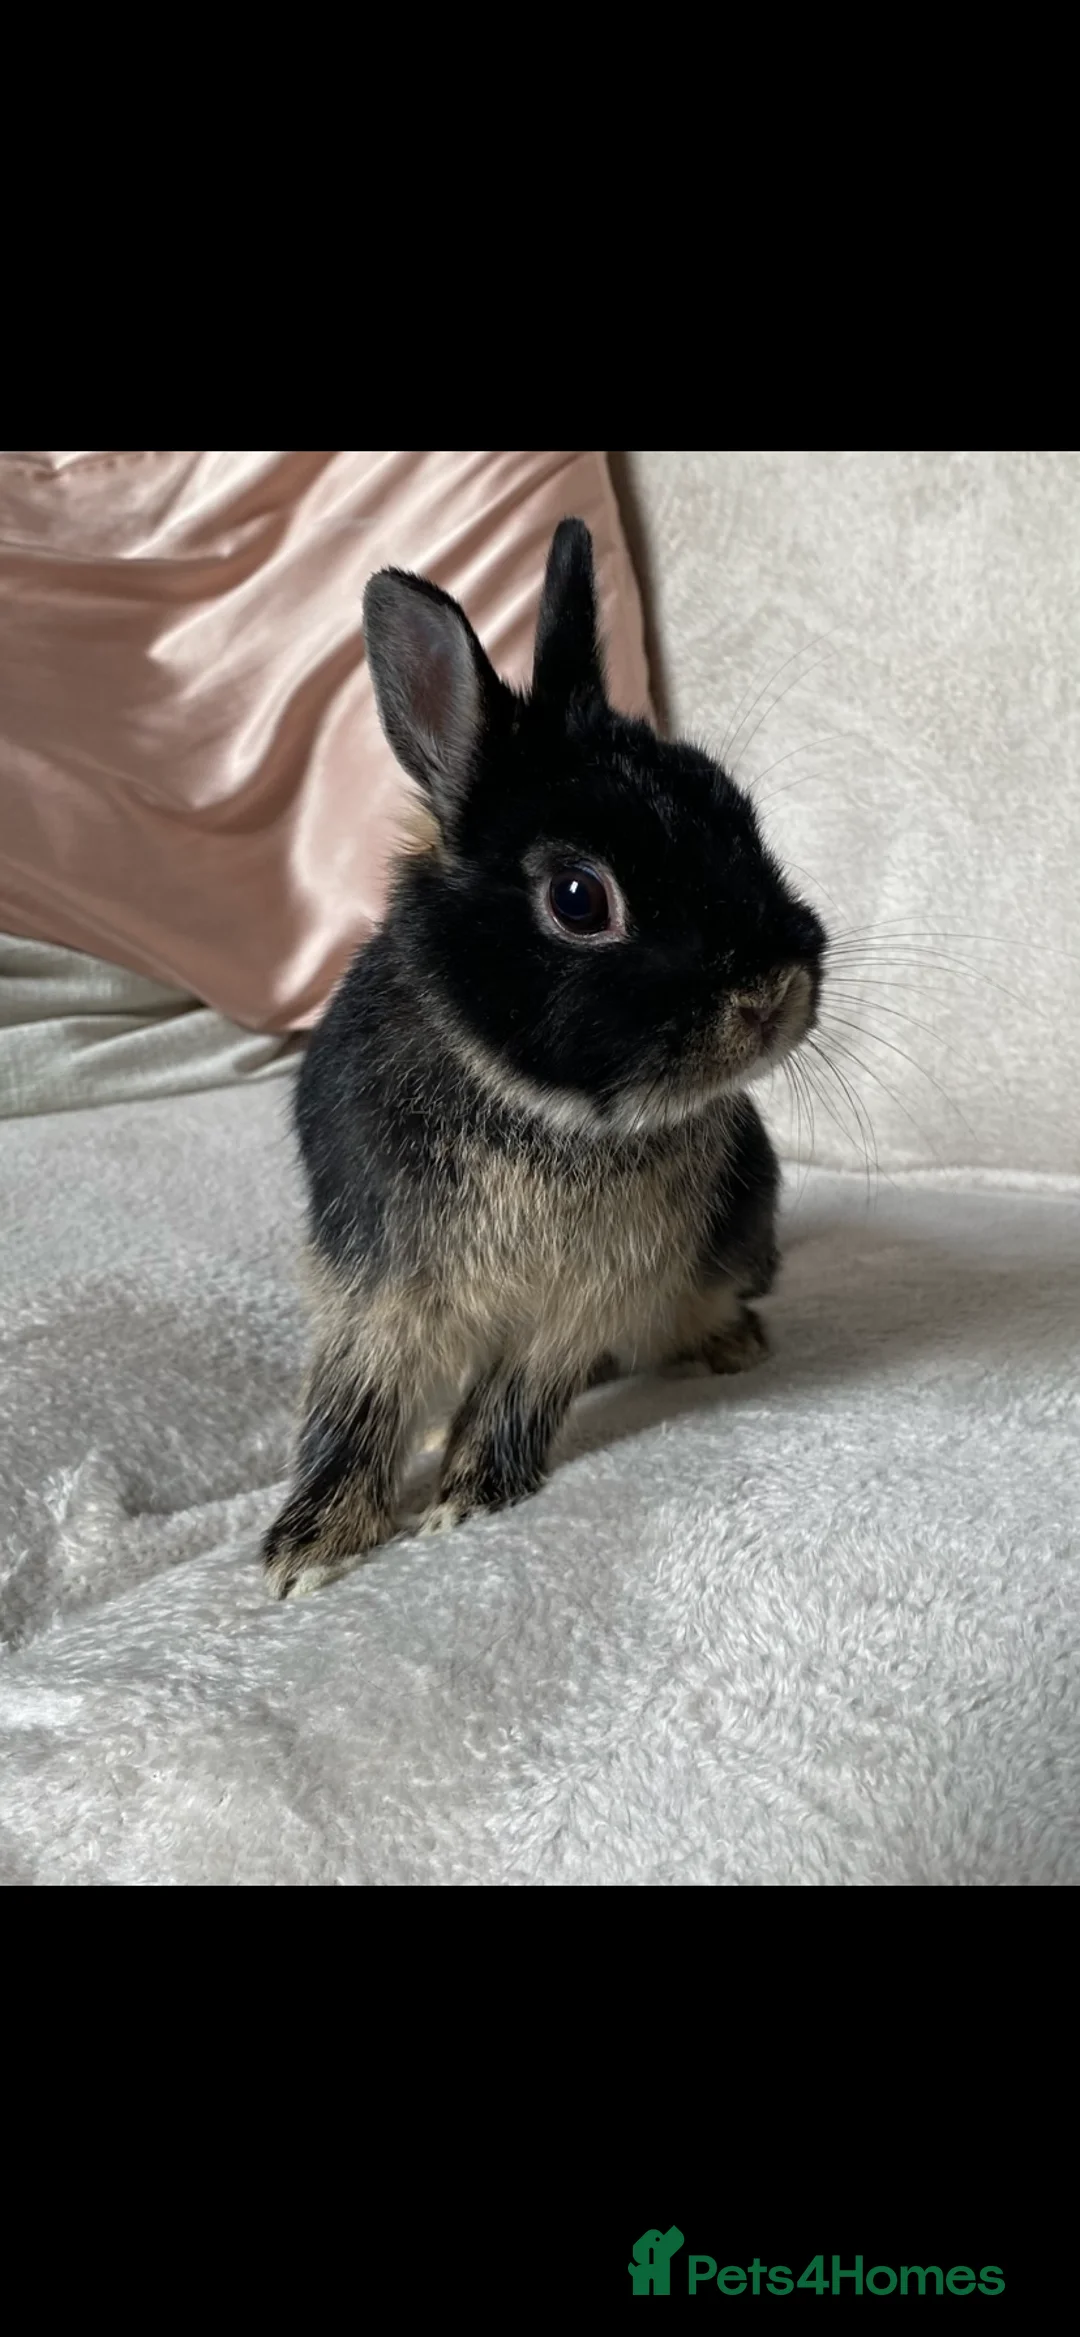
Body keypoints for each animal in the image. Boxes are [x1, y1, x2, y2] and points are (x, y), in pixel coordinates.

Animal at [263, 518, 827, 1599]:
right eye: (578, 897)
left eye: (738, 813)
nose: (775, 995)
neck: (533, 1110)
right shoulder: (377, 1292)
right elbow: (357, 1402)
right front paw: (308, 1547)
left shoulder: (579, 1304)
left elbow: (518, 1393)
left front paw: (468, 1496)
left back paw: (731, 1341)